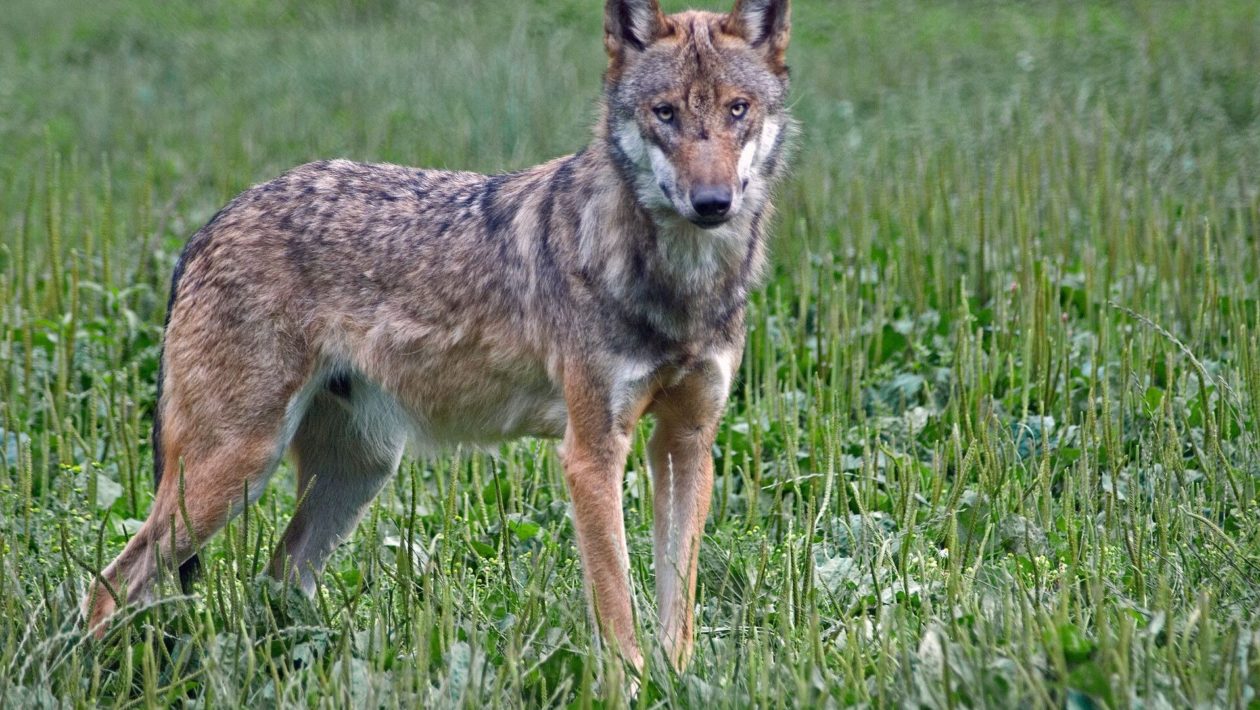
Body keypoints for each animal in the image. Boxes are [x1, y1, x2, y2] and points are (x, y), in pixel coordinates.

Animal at [83, 0, 792, 674]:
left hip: (356, 474)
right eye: (664, 113)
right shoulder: (592, 454)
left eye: (737, 109)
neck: (680, 285)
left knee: (276, 579)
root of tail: (207, 226)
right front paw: (635, 684)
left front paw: (677, 678)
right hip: (233, 473)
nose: (712, 202)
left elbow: (678, 606)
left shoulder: (685, 442)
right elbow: (617, 608)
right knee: (109, 585)